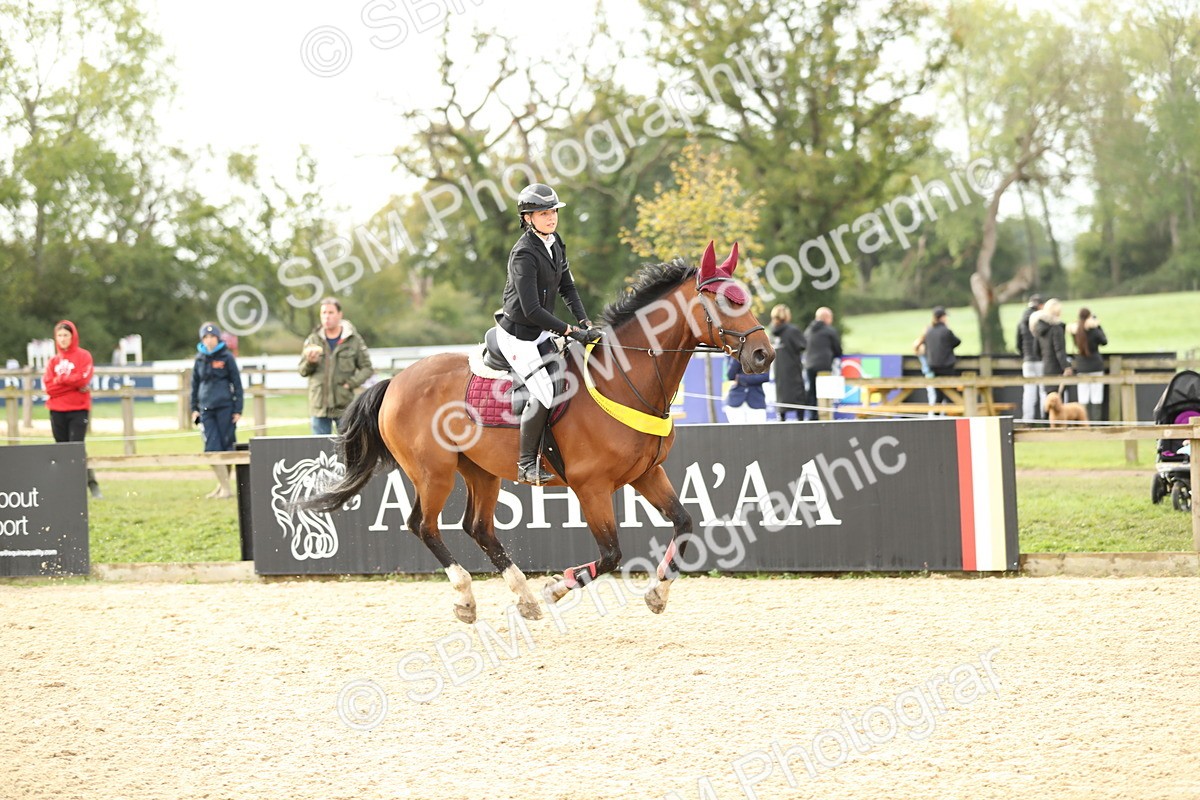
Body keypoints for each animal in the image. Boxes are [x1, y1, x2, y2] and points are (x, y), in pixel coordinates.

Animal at [306, 242, 774, 623]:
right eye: (724, 301)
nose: (763, 355)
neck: (624, 378)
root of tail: (395, 381)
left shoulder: (646, 473)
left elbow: (685, 523)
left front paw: (657, 593)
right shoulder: (591, 487)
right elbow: (611, 554)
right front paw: (555, 588)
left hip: (480, 471)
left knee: (479, 528)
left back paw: (524, 598)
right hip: (433, 473)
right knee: (424, 525)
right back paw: (467, 598)